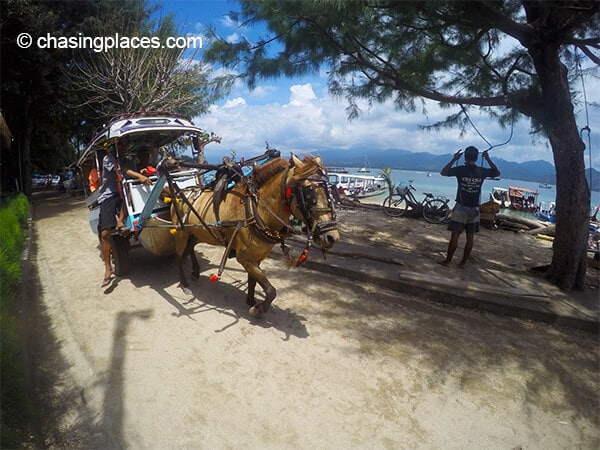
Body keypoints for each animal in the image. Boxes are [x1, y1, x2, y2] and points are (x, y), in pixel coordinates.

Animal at [170, 153, 338, 314]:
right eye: (309, 193)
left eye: (331, 192)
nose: (332, 237)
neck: (256, 211)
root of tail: (182, 192)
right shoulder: (245, 258)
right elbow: (270, 290)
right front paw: (259, 309)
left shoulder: (257, 257)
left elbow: (253, 281)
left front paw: (250, 301)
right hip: (181, 232)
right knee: (178, 256)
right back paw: (184, 283)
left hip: (196, 232)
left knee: (190, 247)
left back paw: (196, 271)